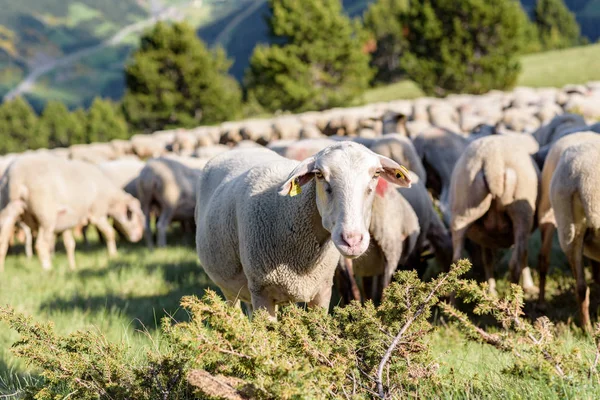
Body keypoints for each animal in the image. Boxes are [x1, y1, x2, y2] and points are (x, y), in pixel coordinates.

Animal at [0, 155, 144, 270]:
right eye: (133, 216)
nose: (138, 237)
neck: (111, 199)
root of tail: (15, 176)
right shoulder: (97, 213)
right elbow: (109, 233)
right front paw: (113, 255)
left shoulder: (66, 223)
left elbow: (70, 244)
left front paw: (72, 267)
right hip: (45, 216)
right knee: (40, 244)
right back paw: (47, 268)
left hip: (9, 210)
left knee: (3, 241)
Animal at [195, 142, 410, 318]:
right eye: (319, 175)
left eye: (376, 174)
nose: (352, 240)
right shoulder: (261, 291)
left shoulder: (322, 291)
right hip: (229, 287)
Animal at [450, 136, 540, 296]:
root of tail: (493, 162)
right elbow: (524, 254)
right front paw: (529, 286)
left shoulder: (484, 237)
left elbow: (488, 259)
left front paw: (490, 290)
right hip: (522, 215)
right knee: (515, 263)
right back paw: (514, 298)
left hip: (463, 211)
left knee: (456, 262)